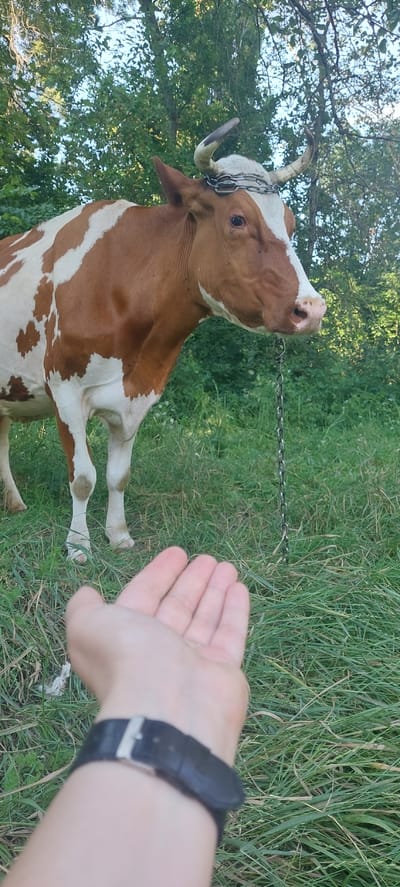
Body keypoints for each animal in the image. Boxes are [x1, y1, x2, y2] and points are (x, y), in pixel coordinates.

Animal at [0, 118, 326, 562]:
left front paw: (118, 535)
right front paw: (78, 546)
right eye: (237, 219)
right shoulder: (64, 388)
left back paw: (14, 502)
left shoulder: (138, 395)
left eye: (290, 223)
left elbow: (118, 475)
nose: (311, 309)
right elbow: (83, 476)